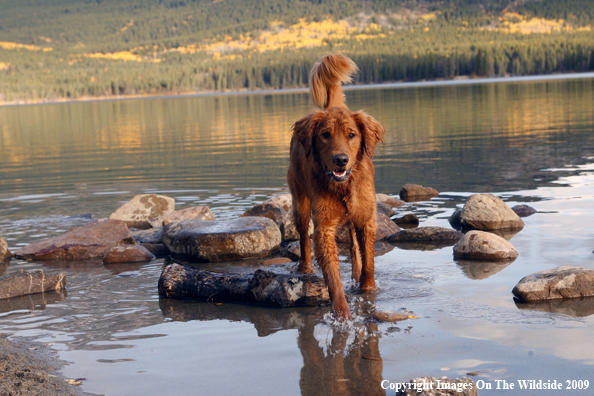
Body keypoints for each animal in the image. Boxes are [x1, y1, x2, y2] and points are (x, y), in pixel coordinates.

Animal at [286, 54, 384, 320]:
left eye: (352, 134)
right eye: (325, 135)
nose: (341, 160)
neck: (343, 186)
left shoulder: (366, 218)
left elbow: (368, 259)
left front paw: (367, 289)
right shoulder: (325, 227)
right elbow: (332, 273)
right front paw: (341, 312)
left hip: (354, 216)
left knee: (354, 245)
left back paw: (356, 272)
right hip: (300, 202)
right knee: (303, 237)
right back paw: (305, 267)